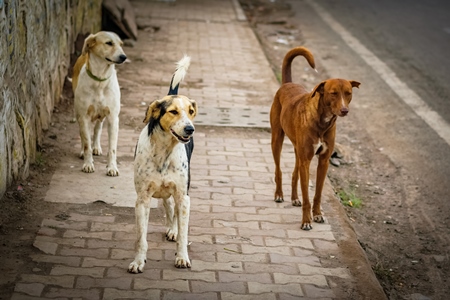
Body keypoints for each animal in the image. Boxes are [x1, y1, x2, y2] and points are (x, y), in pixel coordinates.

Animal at [72, 31, 125, 176]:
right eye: (109, 43)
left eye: (121, 44)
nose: (124, 57)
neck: (100, 80)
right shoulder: (84, 117)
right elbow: (86, 143)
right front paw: (88, 164)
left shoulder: (113, 118)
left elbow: (112, 148)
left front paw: (112, 167)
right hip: (78, 113)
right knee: (83, 135)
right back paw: (83, 151)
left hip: (102, 115)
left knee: (97, 129)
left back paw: (96, 146)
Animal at [126, 55, 197, 274]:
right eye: (173, 112)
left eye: (191, 111)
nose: (190, 129)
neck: (165, 151)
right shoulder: (142, 200)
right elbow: (141, 238)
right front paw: (138, 261)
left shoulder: (184, 197)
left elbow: (183, 234)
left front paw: (182, 257)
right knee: (167, 204)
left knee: (172, 208)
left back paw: (173, 230)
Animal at [268, 47, 360, 230]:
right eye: (333, 94)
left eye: (348, 93)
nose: (345, 110)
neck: (322, 122)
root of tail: (287, 84)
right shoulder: (306, 161)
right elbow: (307, 197)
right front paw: (306, 221)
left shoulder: (323, 161)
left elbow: (317, 193)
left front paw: (317, 215)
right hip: (277, 140)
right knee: (278, 170)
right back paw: (279, 194)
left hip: (298, 150)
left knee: (294, 174)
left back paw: (294, 198)